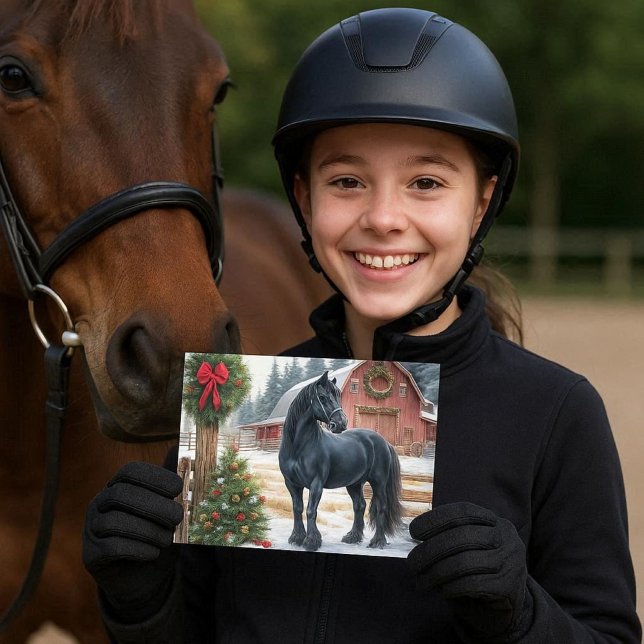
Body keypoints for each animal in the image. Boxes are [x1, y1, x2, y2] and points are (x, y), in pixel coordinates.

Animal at [279, 371, 404, 552]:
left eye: (337, 396)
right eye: (322, 397)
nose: (341, 423)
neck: (298, 447)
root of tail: (384, 442)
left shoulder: (316, 484)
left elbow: (311, 510)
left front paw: (311, 541)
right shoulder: (292, 483)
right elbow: (297, 508)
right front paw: (297, 538)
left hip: (378, 482)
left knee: (381, 507)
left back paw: (377, 541)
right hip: (354, 483)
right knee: (360, 505)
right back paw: (353, 537)